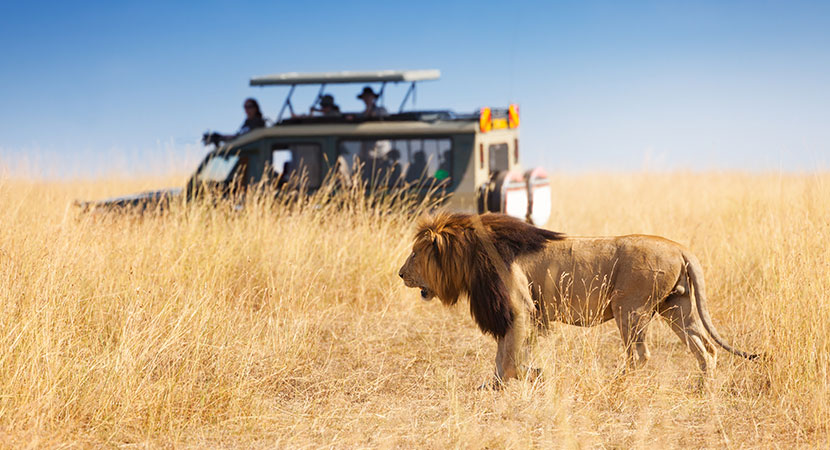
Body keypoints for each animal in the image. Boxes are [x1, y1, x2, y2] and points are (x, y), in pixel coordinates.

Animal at [400, 213, 764, 384]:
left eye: (416, 253)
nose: (401, 274)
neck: (471, 255)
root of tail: (681, 248)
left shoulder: (519, 309)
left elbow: (509, 358)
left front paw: (527, 377)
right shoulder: (520, 314)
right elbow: (504, 356)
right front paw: (499, 385)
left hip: (629, 308)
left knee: (640, 355)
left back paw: (617, 384)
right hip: (677, 308)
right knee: (706, 348)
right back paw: (703, 389)